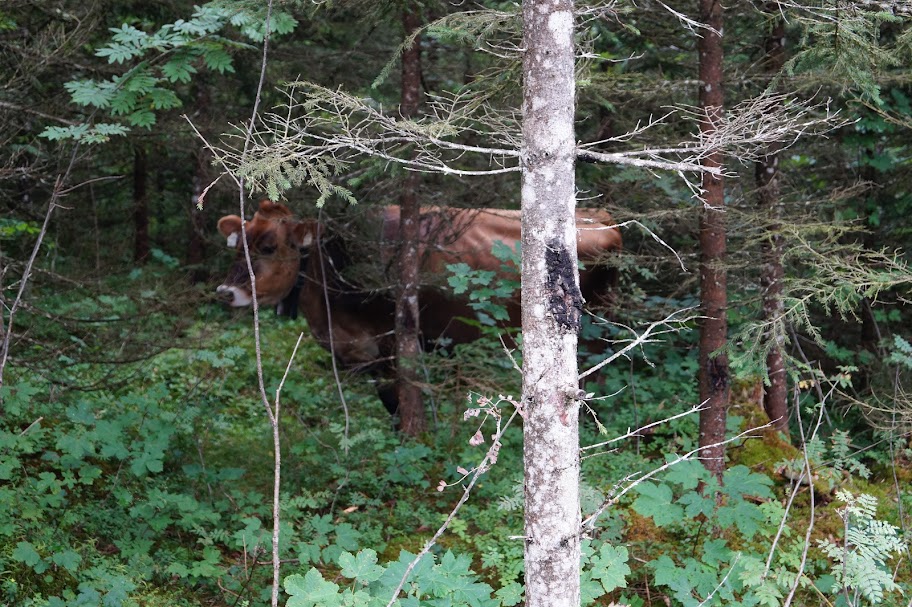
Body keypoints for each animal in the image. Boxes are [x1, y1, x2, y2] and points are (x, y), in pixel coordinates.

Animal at [217, 202, 624, 416]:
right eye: (237, 246)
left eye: (269, 246)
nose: (225, 291)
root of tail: (602, 217)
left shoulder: (390, 345)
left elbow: (395, 402)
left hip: (593, 334)